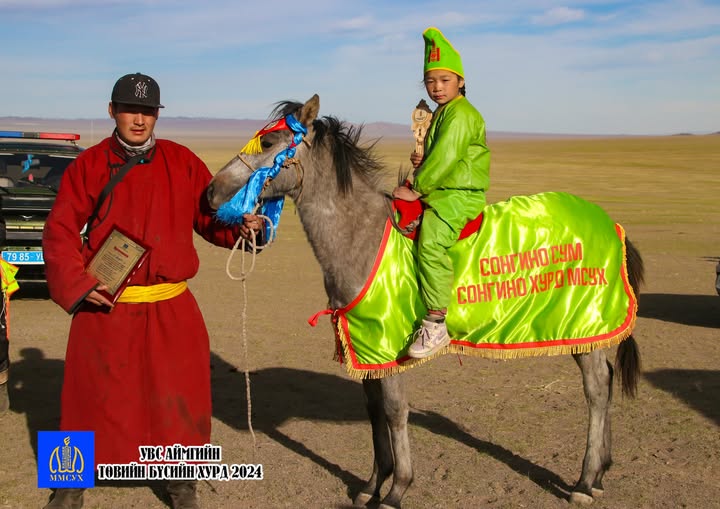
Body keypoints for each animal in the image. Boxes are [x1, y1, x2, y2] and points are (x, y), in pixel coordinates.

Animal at [206, 94, 644, 508]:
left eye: (269, 142)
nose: (211, 192)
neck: (360, 236)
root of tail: (613, 225)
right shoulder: (367, 348)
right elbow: (373, 412)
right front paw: (371, 486)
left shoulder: (387, 342)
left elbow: (395, 411)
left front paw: (397, 490)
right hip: (588, 330)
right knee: (605, 380)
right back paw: (600, 474)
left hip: (584, 325)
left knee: (597, 389)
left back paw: (584, 483)